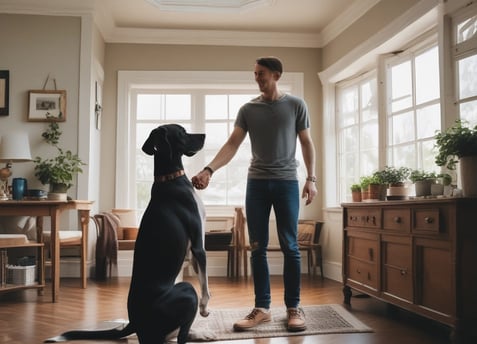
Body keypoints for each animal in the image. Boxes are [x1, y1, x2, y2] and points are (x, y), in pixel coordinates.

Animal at [45, 124, 209, 344]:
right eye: (182, 132)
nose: (204, 135)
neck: (170, 179)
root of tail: (134, 323)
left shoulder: (193, 252)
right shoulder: (198, 246)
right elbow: (205, 284)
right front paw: (205, 307)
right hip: (186, 291)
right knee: (180, 333)